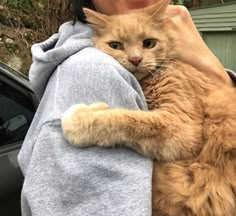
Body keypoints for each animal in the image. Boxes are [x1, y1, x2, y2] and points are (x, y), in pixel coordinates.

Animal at [61, 0, 236, 215]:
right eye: (116, 45)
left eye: (149, 43)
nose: (136, 59)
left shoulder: (183, 129)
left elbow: (126, 119)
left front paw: (80, 121)